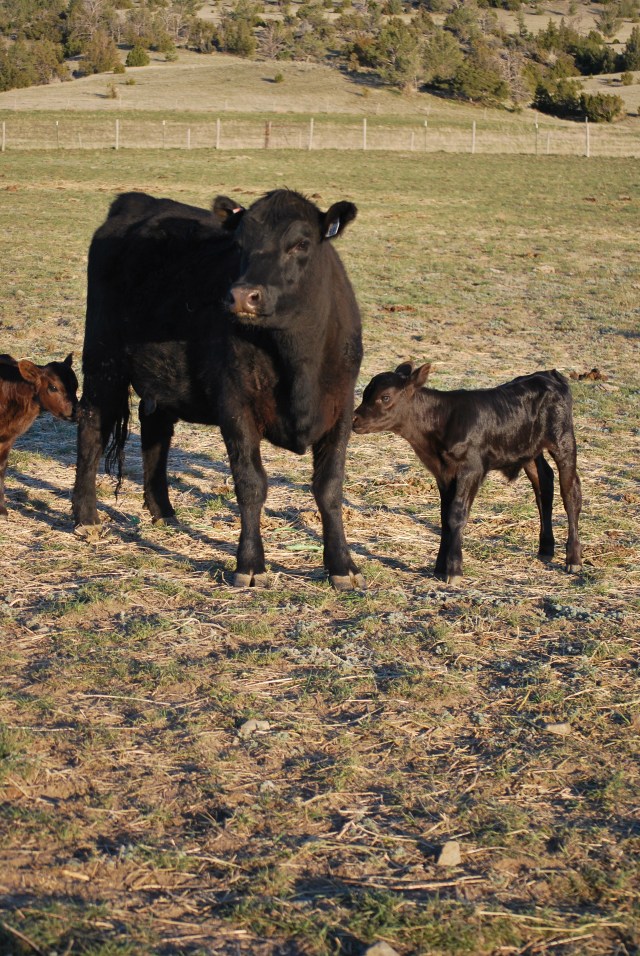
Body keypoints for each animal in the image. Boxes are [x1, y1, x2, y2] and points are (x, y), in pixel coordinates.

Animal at [0, 353, 78, 516]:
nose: (76, 411)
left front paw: (2, 509)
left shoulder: (8, 438)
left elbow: (2, 467)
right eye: (53, 387)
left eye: (76, 386)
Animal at [72, 189, 365, 589]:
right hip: (103, 356)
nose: (243, 295)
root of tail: (136, 200)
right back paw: (85, 518)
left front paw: (341, 565)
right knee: (91, 425)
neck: (298, 362)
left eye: (301, 243)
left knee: (155, 433)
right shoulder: (235, 404)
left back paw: (163, 511)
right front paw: (250, 564)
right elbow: (251, 484)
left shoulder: (341, 407)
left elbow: (329, 487)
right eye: (240, 244)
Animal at [352, 362, 582, 583]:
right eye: (365, 394)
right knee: (544, 484)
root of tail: (549, 373)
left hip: (563, 440)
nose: (355, 420)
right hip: (530, 450)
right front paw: (439, 568)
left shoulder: (471, 469)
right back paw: (546, 549)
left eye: (385, 397)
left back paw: (573, 559)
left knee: (570, 493)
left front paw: (454, 570)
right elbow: (445, 518)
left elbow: (456, 515)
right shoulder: (444, 474)